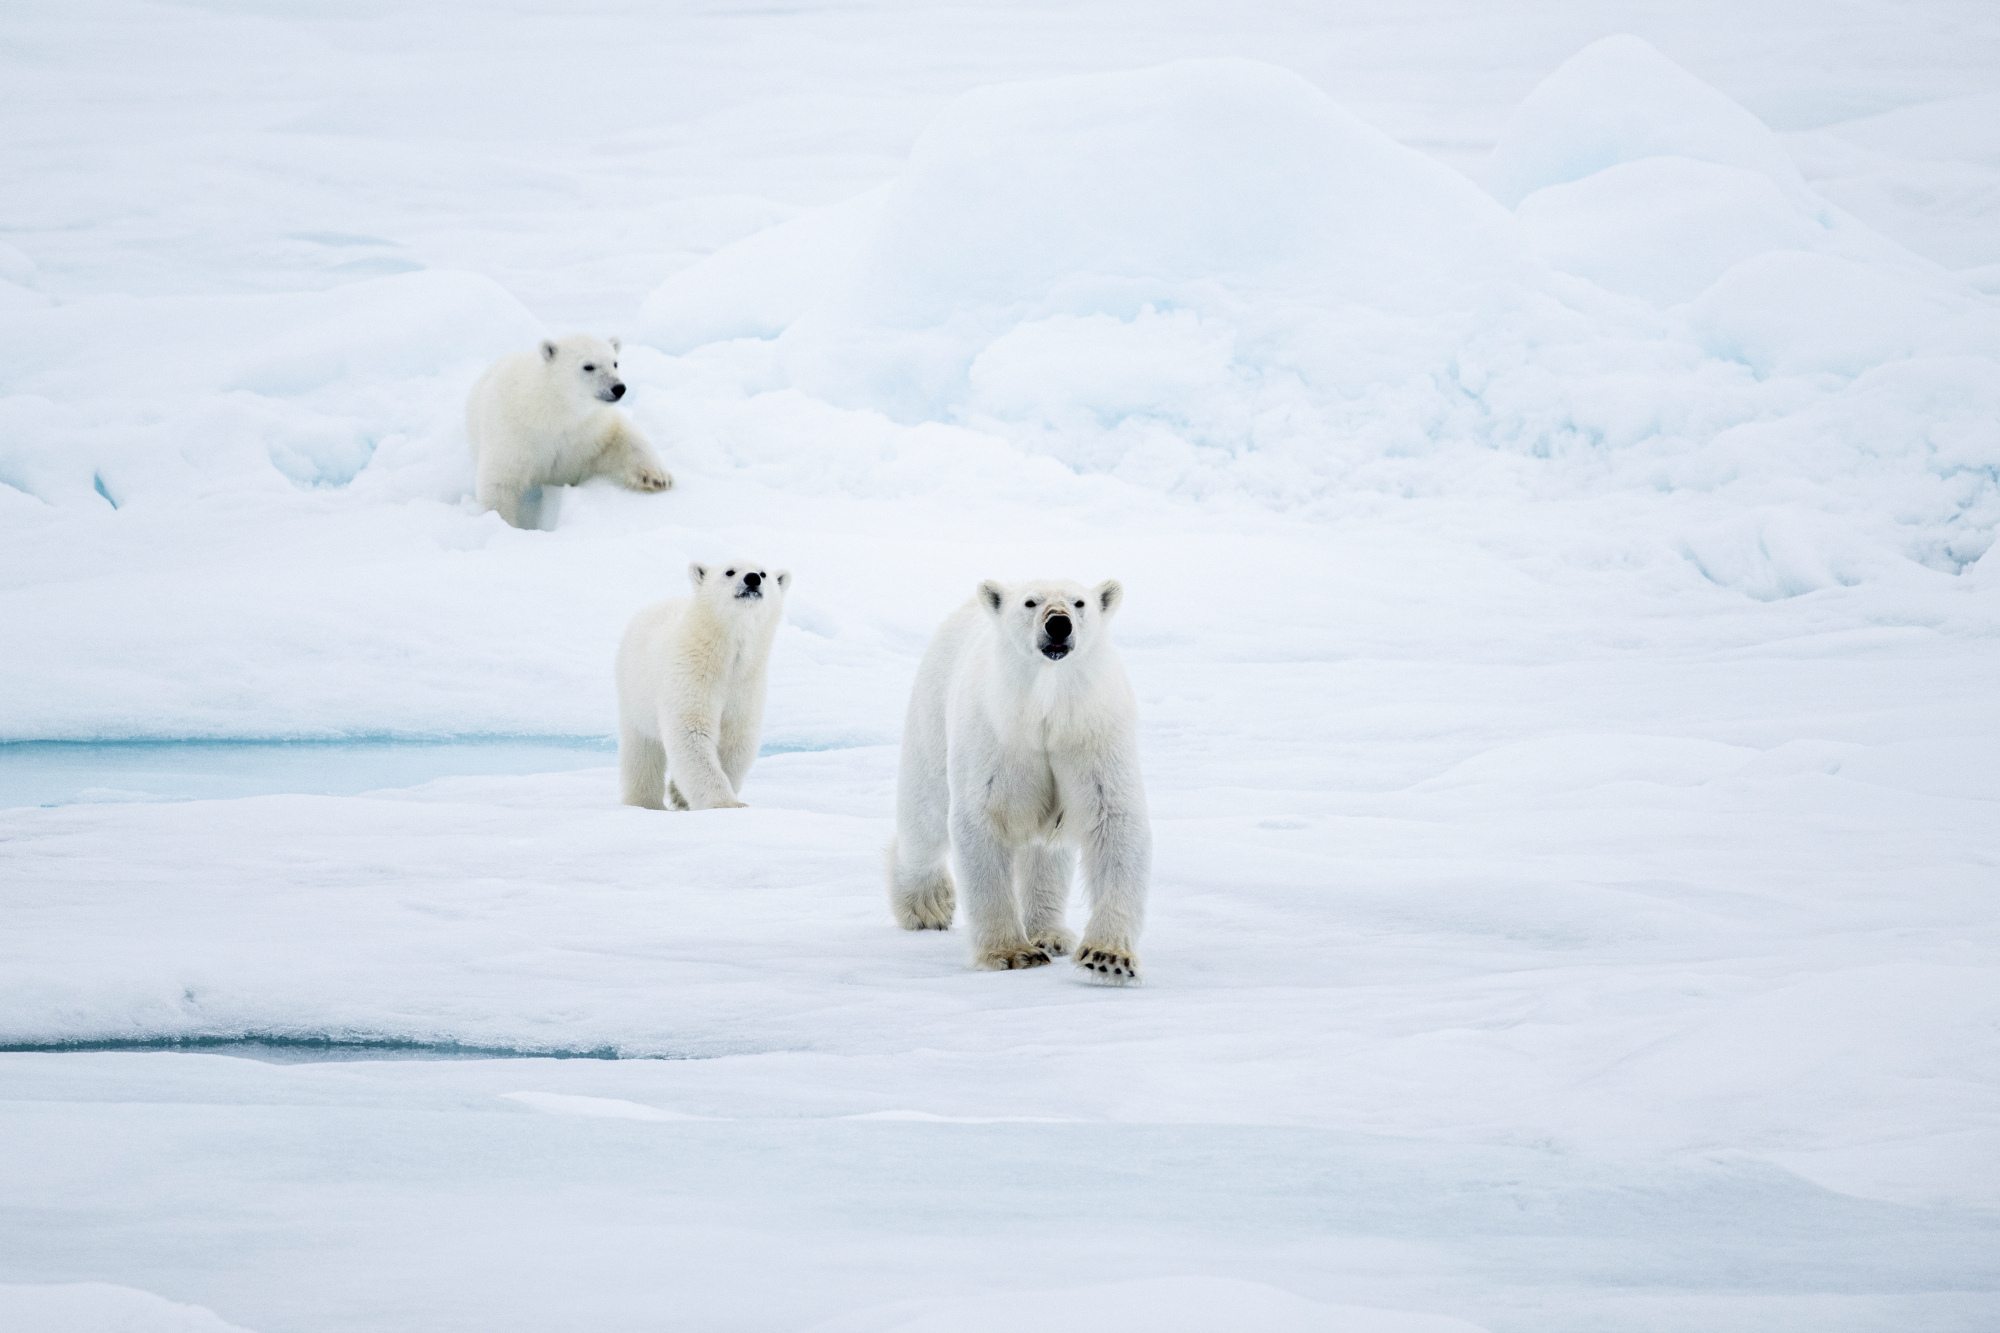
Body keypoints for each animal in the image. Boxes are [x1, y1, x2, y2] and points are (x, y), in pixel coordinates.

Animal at [465, 333, 671, 528]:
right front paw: (503, 524)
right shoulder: (514, 432)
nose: (619, 388)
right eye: (588, 366)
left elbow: (623, 438)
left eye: (615, 363)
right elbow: (501, 482)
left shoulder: (590, 430)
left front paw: (657, 478)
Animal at [616, 560, 790, 811]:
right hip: (634, 690)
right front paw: (725, 804)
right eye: (729, 571)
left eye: (763, 573)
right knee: (642, 749)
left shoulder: (746, 684)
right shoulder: (692, 673)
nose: (752, 579)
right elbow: (692, 731)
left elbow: (737, 739)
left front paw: (680, 795)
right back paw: (645, 803)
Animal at [886, 577, 1151, 983]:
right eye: (1030, 602)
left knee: (1048, 853)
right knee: (924, 819)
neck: (1045, 708)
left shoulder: (1091, 734)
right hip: (931, 715)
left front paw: (1108, 957)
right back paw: (927, 906)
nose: (1058, 624)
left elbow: (1114, 819)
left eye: (1079, 603)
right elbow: (981, 818)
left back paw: (1050, 933)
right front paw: (1012, 953)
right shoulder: (996, 737)